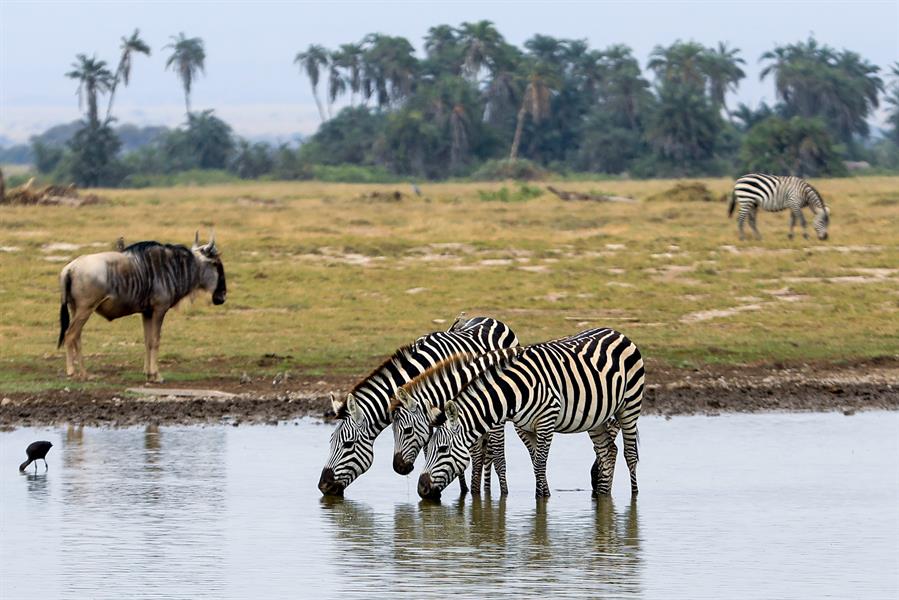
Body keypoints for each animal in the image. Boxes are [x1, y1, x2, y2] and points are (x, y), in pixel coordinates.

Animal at [57, 232, 227, 382]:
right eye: (216, 264)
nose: (222, 296)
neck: (172, 268)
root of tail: (70, 268)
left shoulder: (147, 312)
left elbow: (147, 341)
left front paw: (148, 373)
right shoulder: (159, 310)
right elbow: (155, 340)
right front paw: (156, 375)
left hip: (76, 309)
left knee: (77, 337)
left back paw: (84, 373)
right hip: (85, 309)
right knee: (70, 335)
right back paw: (74, 372)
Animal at [388, 346, 528, 496]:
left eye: (408, 430)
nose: (397, 468)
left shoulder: (494, 423)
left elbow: (494, 460)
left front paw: (498, 495)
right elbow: (478, 458)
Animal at [418, 328, 644, 502]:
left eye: (443, 449)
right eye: (427, 449)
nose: (421, 488)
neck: (514, 392)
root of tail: (618, 333)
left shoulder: (546, 420)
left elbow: (540, 464)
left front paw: (541, 501)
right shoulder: (524, 427)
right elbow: (536, 464)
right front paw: (545, 495)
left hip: (630, 407)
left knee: (630, 455)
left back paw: (634, 497)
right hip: (596, 417)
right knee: (608, 452)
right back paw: (604, 496)